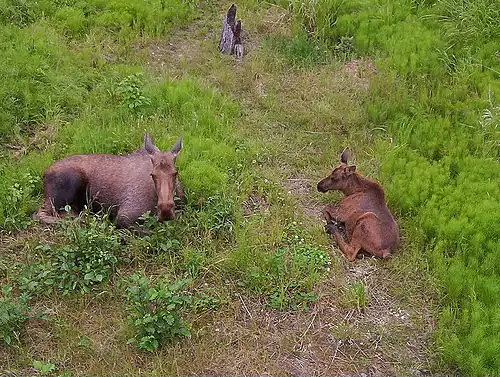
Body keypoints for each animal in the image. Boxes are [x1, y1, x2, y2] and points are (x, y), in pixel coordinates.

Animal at [35, 133, 185, 226]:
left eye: (175, 173)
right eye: (152, 174)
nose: (166, 211)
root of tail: (45, 173)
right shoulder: (124, 217)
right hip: (68, 187)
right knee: (41, 214)